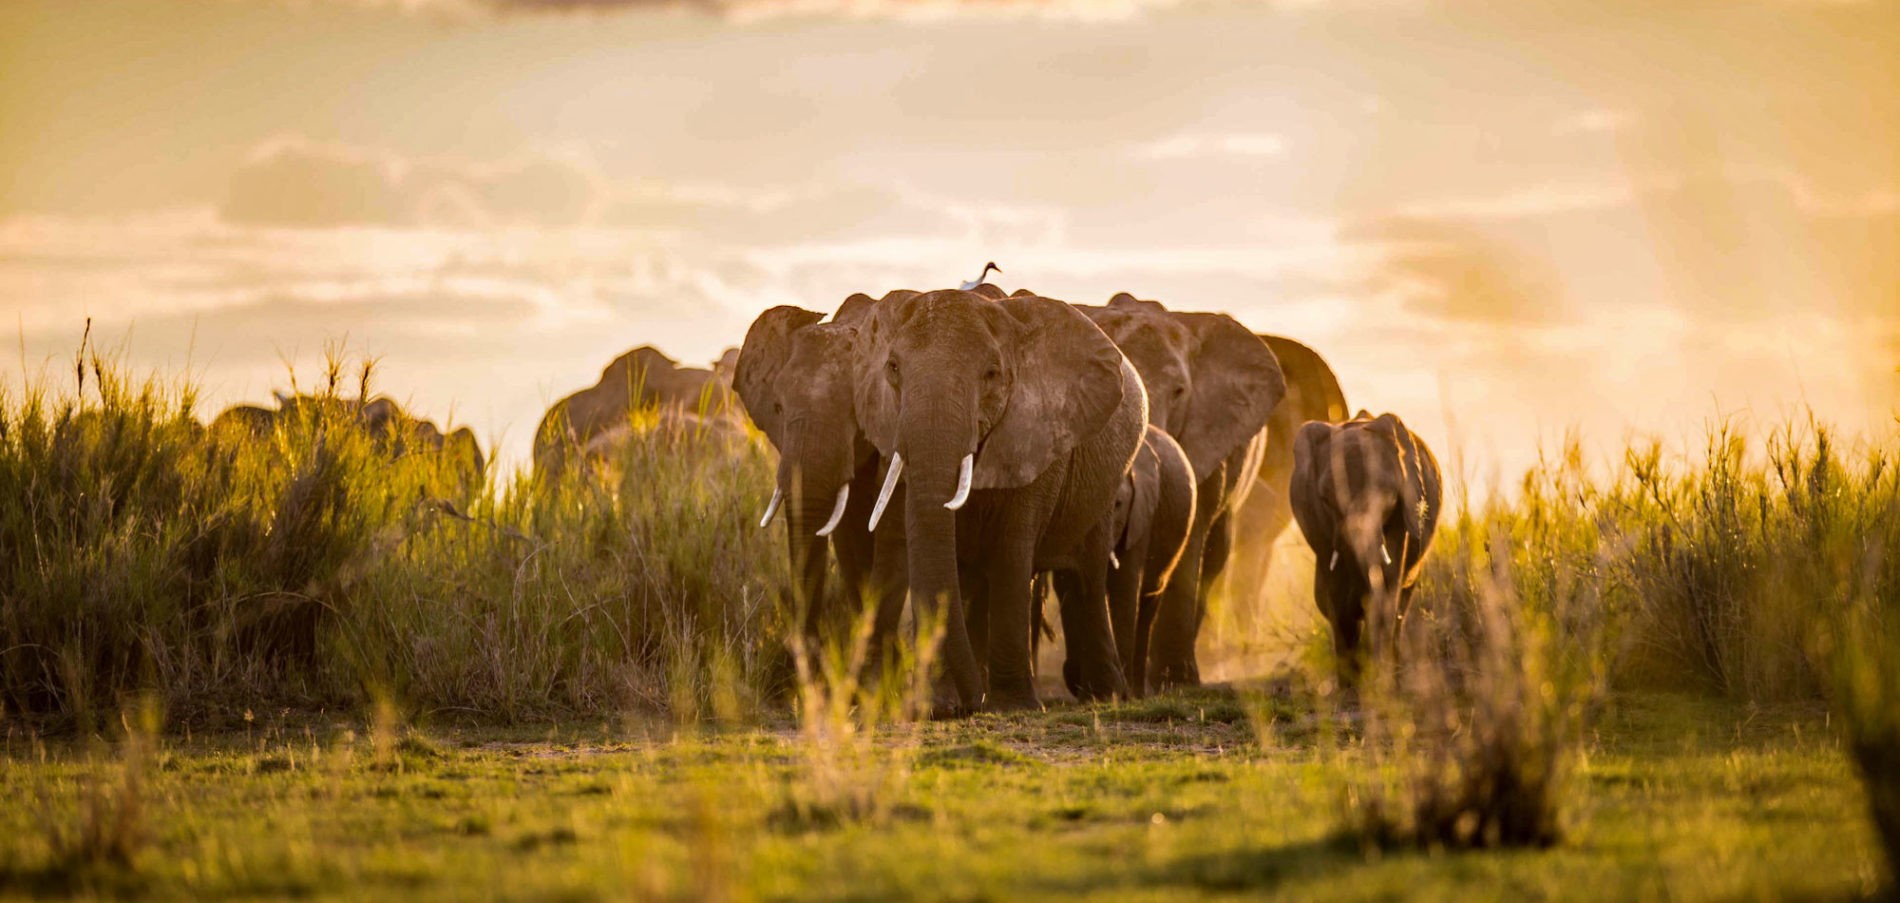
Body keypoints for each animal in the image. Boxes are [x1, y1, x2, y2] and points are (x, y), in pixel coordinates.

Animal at [858, 288, 1147, 714]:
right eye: (893, 368)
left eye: (991, 374)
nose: (969, 704)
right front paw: (941, 705)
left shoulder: (1037, 436)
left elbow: (1012, 553)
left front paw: (1013, 705)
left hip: (1105, 483)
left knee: (1087, 576)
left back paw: (1105, 695)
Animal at [1292, 412, 1436, 691]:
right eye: (1326, 499)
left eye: (1389, 494)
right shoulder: (1321, 528)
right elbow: (1336, 602)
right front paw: (1352, 685)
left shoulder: (1403, 512)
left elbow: (1387, 592)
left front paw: (1378, 683)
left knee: (1400, 608)